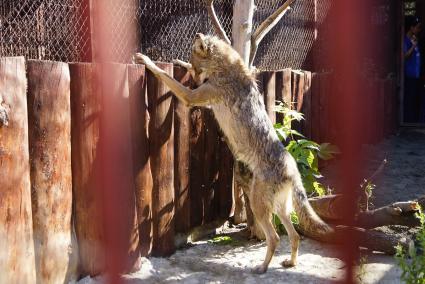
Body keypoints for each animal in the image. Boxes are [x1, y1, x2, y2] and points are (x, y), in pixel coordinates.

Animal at [134, 33, 330, 276]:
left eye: (198, 68)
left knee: (275, 238)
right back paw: (290, 264)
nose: (196, 79)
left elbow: (163, 75)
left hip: (259, 207)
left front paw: (147, 60)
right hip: (280, 208)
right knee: (294, 236)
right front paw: (178, 62)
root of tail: (292, 169)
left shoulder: (192, 97)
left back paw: (262, 268)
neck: (224, 69)